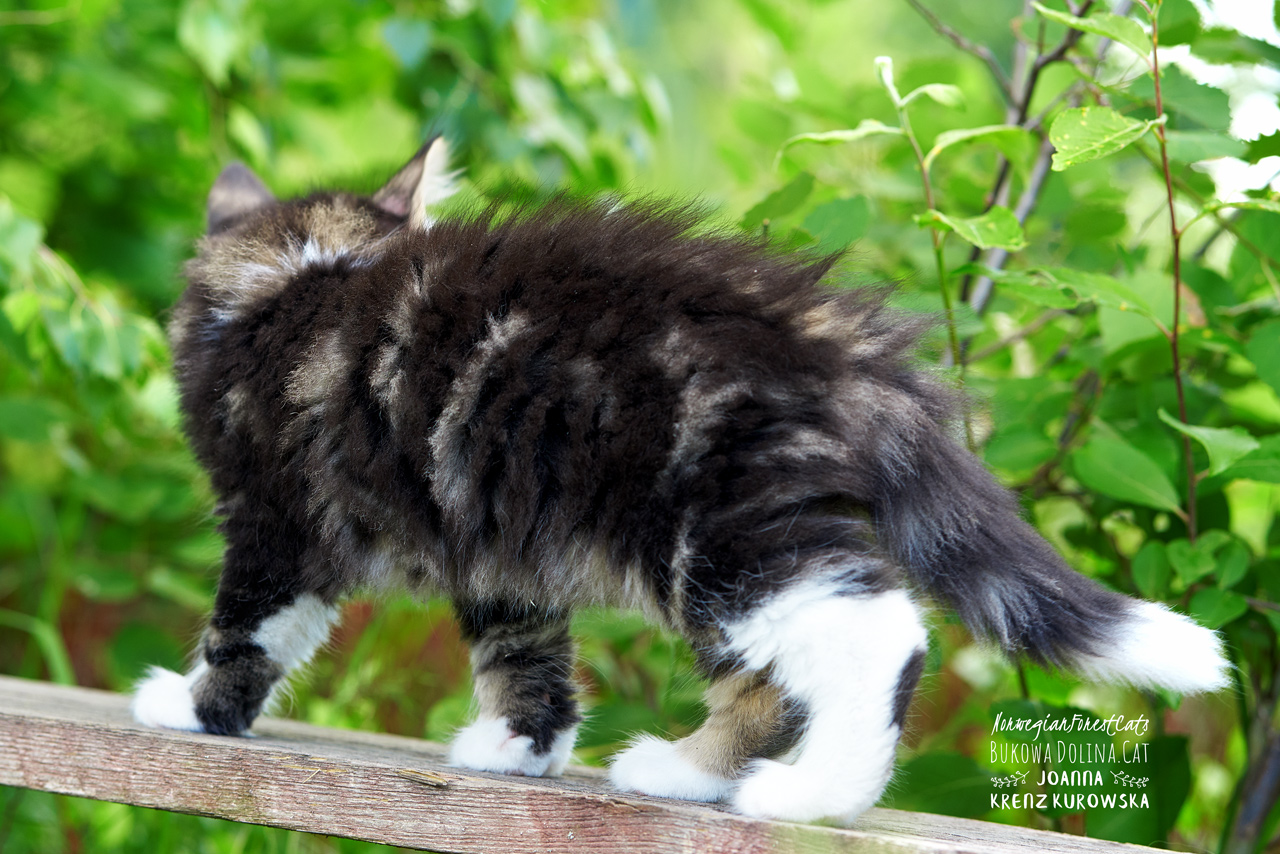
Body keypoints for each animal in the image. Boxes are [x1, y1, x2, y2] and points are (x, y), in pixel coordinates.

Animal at [133, 137, 1230, 824]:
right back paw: (689, 772)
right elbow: (523, 646)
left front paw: (191, 706)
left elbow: (248, 627)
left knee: (875, 634)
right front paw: (522, 744)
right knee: (772, 676)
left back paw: (812, 795)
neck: (300, 279)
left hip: (714, 527)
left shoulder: (277, 518)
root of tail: (838, 345)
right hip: (739, 524)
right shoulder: (493, 535)